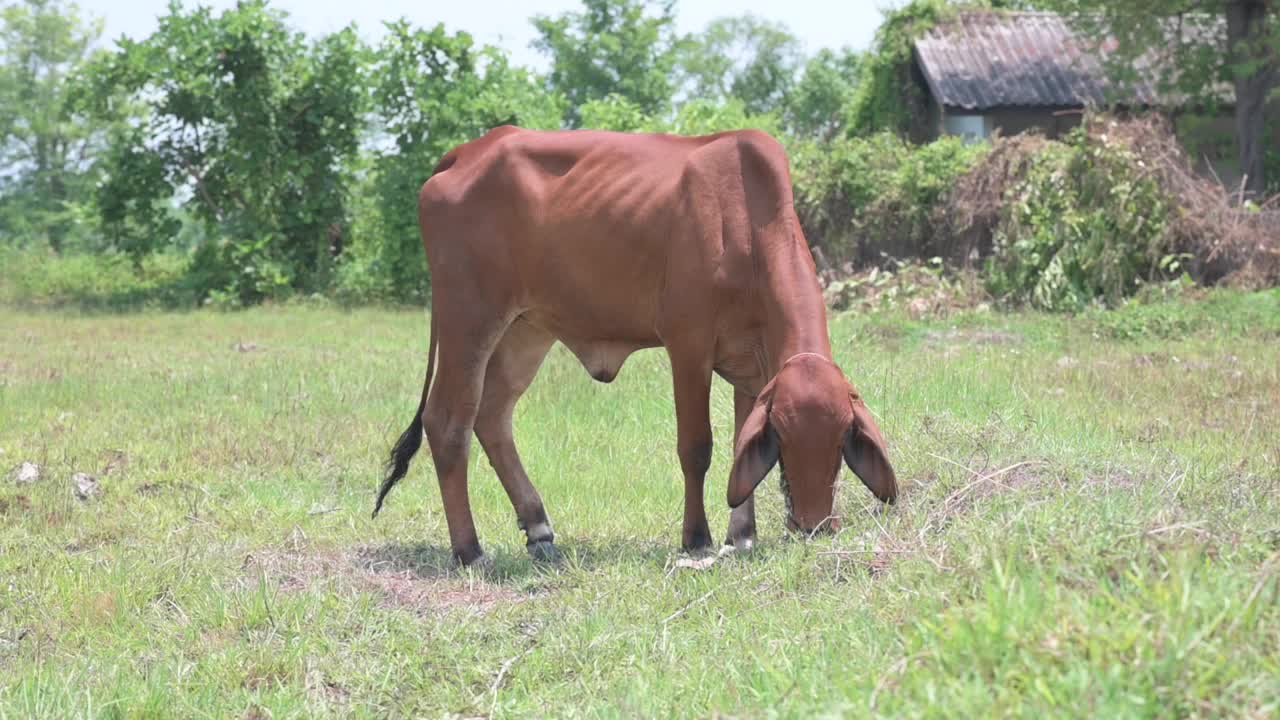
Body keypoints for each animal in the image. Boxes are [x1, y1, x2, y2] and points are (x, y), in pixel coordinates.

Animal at [373, 124, 896, 566]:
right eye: (784, 438)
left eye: (843, 439)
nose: (815, 526)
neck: (745, 225)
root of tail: (466, 152)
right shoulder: (688, 345)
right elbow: (697, 448)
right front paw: (697, 538)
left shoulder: (752, 364)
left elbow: (738, 445)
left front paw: (743, 535)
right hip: (469, 321)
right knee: (448, 422)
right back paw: (469, 550)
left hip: (526, 329)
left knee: (491, 415)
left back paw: (539, 529)